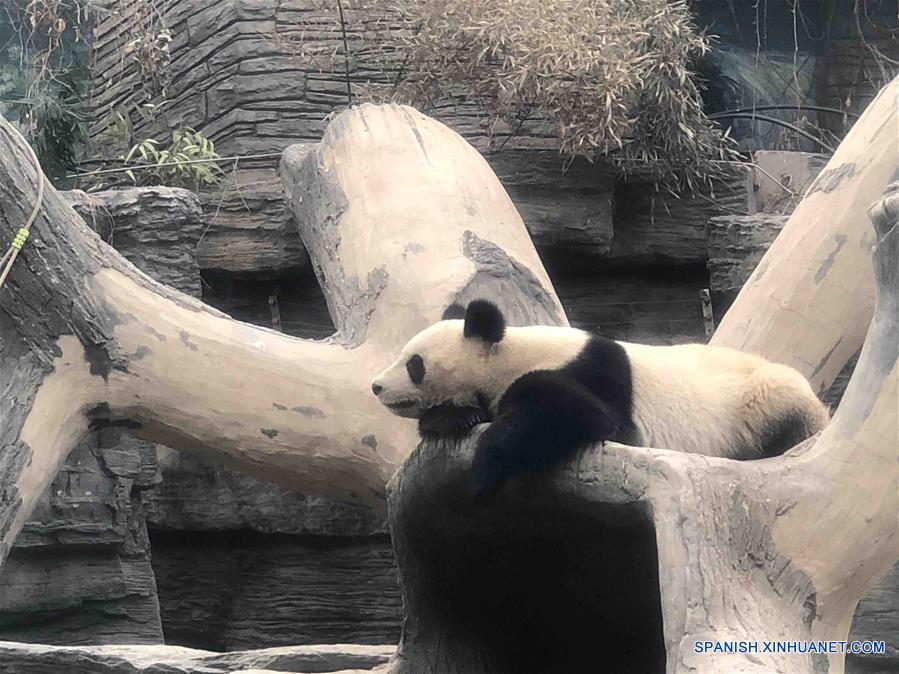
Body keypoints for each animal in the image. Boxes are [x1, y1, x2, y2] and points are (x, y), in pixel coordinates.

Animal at [371, 299, 829, 496]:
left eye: (414, 364)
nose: (376, 386)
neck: (506, 352)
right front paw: (454, 417)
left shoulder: (587, 372)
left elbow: (582, 415)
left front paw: (483, 472)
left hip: (758, 398)